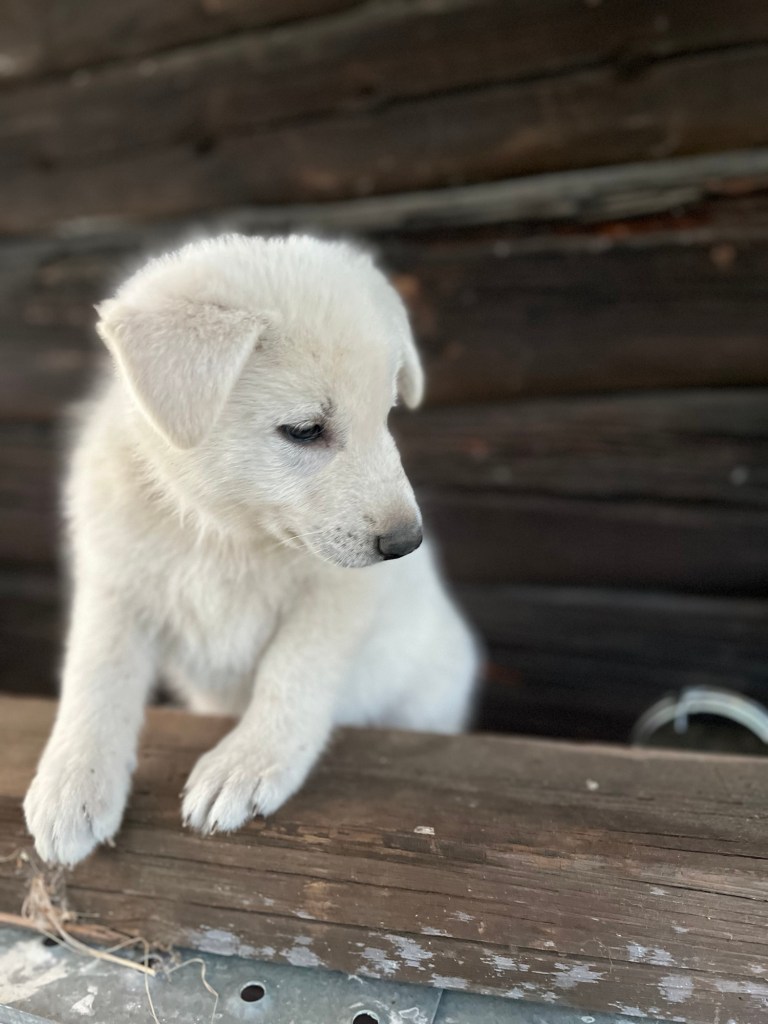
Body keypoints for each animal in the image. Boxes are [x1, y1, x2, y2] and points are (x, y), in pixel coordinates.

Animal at [23, 234, 479, 866]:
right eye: (305, 430)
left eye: (387, 415)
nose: (407, 542)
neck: (223, 532)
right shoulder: (116, 589)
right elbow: (96, 680)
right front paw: (72, 787)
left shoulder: (336, 597)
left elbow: (292, 673)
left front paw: (245, 765)